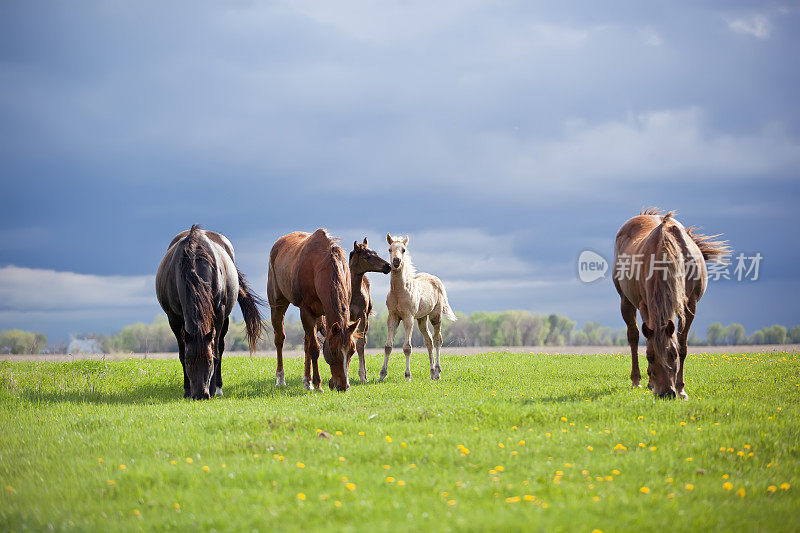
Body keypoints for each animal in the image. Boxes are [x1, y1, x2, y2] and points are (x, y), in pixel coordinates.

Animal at [157, 224, 266, 400]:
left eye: (209, 361)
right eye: (188, 362)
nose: (201, 394)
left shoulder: (219, 314)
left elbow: (216, 351)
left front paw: (215, 389)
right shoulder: (173, 318)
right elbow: (181, 352)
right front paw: (186, 390)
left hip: (225, 319)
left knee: (220, 347)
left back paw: (218, 387)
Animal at [268, 229, 360, 390]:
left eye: (352, 351)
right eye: (334, 351)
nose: (344, 386)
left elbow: (310, 345)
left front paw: (311, 381)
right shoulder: (306, 311)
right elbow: (314, 349)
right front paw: (317, 383)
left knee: (306, 342)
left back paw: (307, 381)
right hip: (277, 305)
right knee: (280, 339)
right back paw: (280, 378)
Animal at [376, 234, 454, 382]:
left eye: (403, 249)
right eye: (389, 249)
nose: (396, 261)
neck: (399, 291)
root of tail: (437, 280)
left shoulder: (409, 318)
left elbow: (407, 348)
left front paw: (407, 376)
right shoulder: (392, 317)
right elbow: (388, 346)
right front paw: (382, 375)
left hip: (435, 316)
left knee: (437, 340)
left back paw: (438, 372)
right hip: (422, 318)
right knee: (428, 341)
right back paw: (432, 372)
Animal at [612, 210, 732, 396]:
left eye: (673, 355)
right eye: (650, 357)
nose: (666, 393)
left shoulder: (690, 305)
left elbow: (682, 344)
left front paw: (681, 388)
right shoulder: (645, 305)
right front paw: (652, 382)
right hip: (625, 301)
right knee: (634, 336)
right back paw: (637, 381)